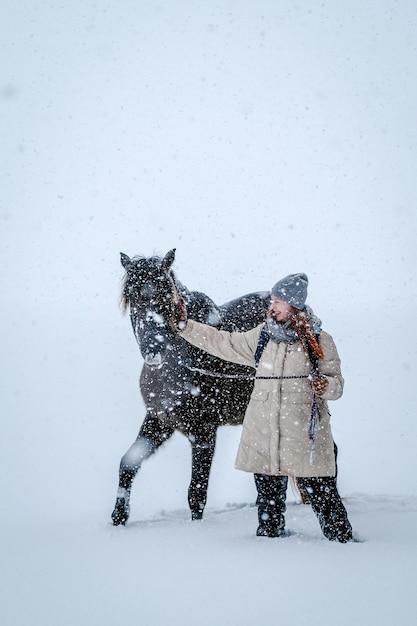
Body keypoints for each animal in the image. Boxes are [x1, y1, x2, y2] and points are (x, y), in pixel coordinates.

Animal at [109, 247, 270, 520]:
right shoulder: (160, 420)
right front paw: (119, 516)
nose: (153, 348)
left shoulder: (203, 431)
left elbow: (196, 493)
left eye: (166, 295)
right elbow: (128, 462)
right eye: (132, 296)